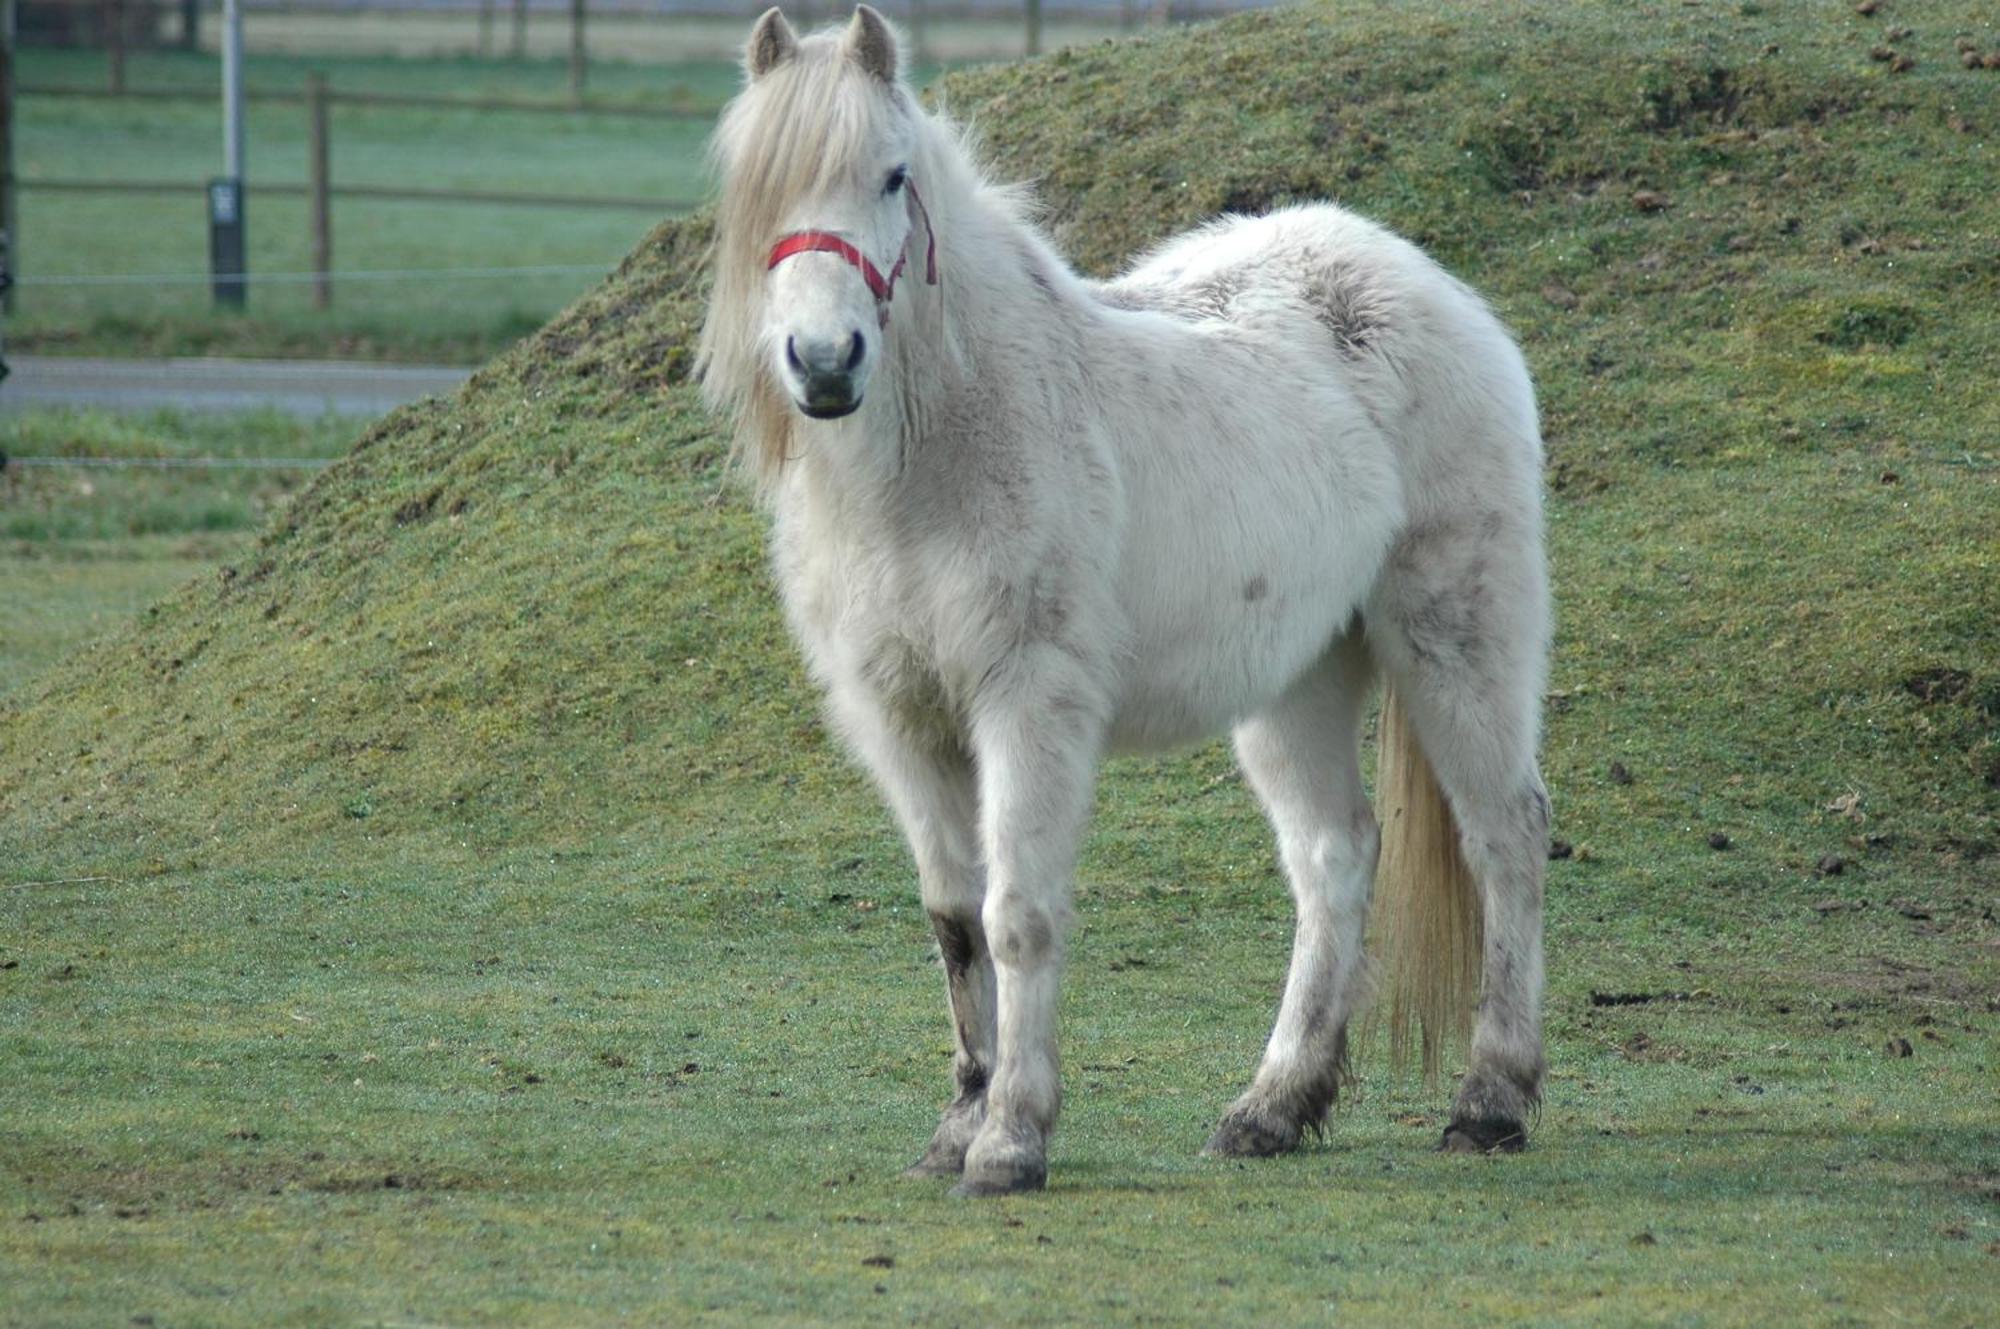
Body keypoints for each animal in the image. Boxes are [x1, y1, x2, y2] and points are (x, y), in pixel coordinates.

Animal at [704, 7, 1560, 1192]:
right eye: (755, 186)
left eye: (890, 175)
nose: (825, 363)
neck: (946, 453)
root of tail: (1429, 287)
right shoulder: (903, 724)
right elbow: (954, 921)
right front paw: (959, 1122)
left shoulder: (1027, 706)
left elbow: (1017, 915)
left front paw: (1012, 1138)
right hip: (1298, 679)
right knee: (1333, 857)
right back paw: (1272, 1107)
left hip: (1458, 642)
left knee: (1504, 836)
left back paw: (1490, 1099)